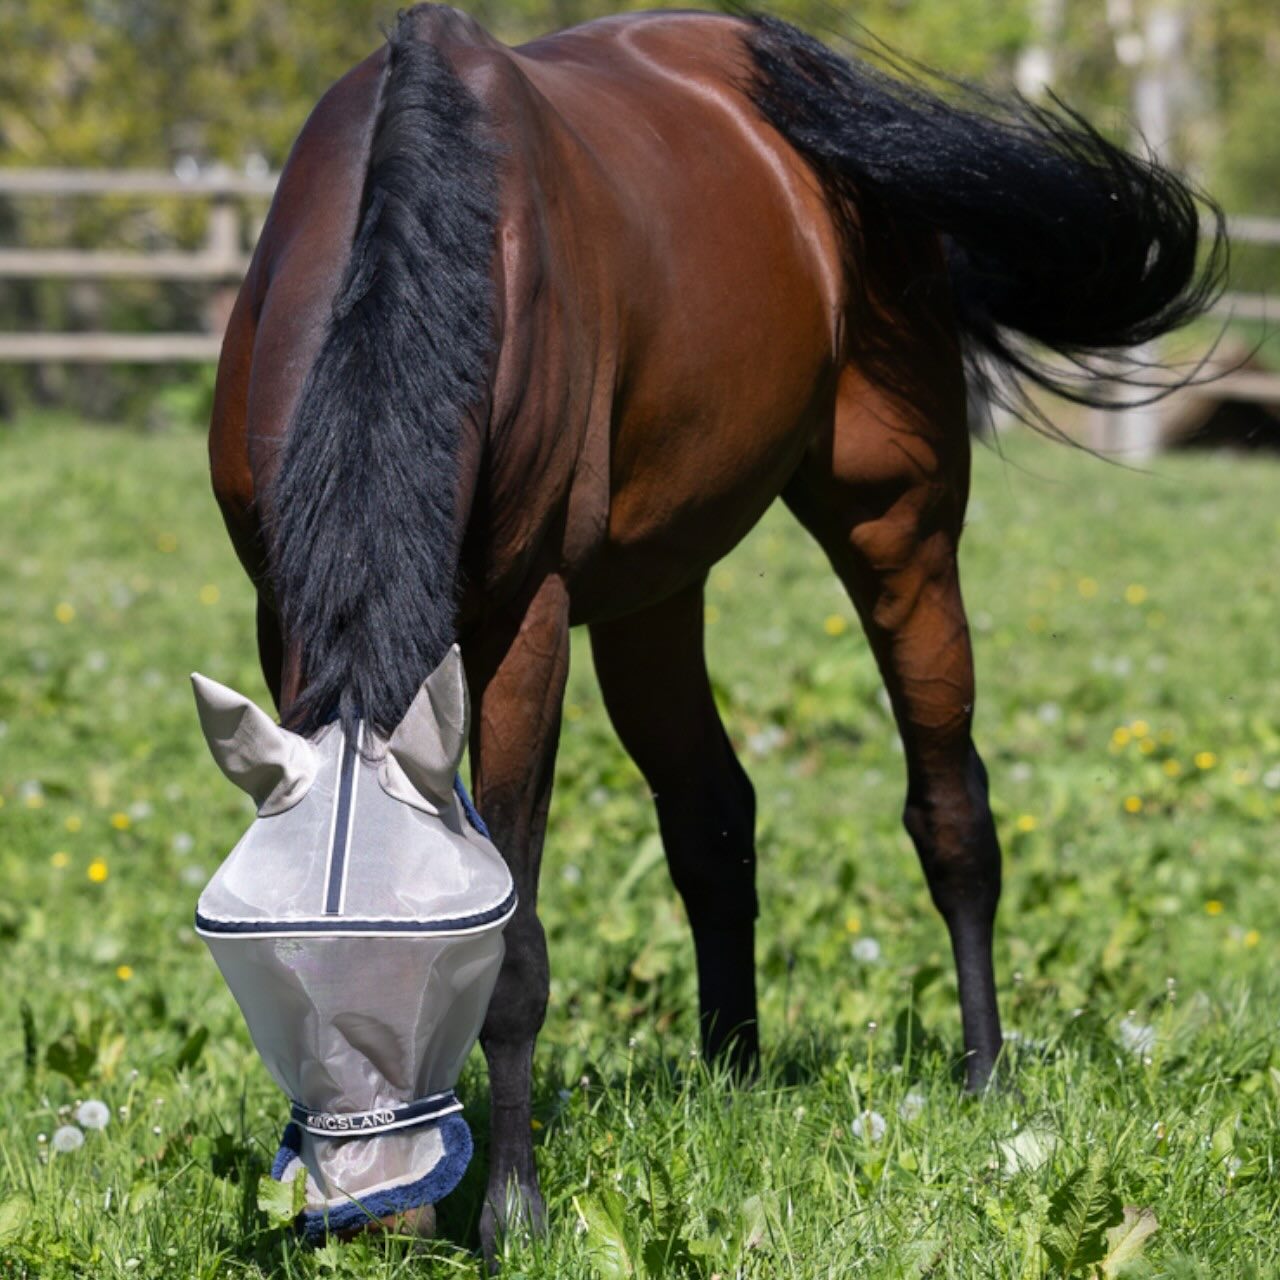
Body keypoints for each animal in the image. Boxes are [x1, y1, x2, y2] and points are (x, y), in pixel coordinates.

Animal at [207, 3, 1223, 1253]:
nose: (378, 1206)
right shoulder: (281, 609)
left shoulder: (526, 618)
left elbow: (520, 942)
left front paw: (512, 1210)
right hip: (656, 591)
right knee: (712, 806)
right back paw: (730, 1069)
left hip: (897, 527)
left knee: (950, 806)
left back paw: (984, 1074)